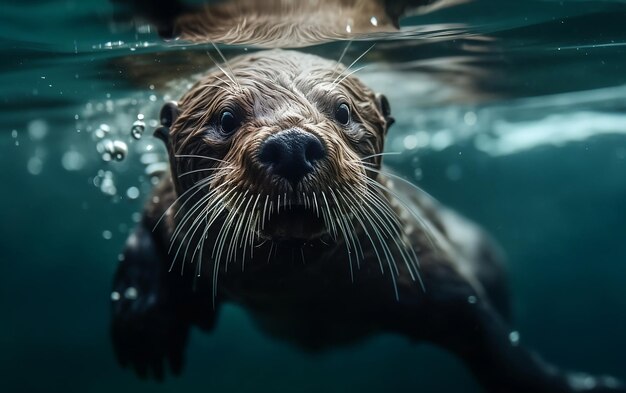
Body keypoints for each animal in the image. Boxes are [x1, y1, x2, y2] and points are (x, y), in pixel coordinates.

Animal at [109, 50, 620, 390]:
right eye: (227, 117)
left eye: (342, 111)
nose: (292, 145)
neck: (302, 291)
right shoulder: (167, 206)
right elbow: (145, 232)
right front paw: (144, 317)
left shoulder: (424, 258)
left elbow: (494, 338)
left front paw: (580, 384)